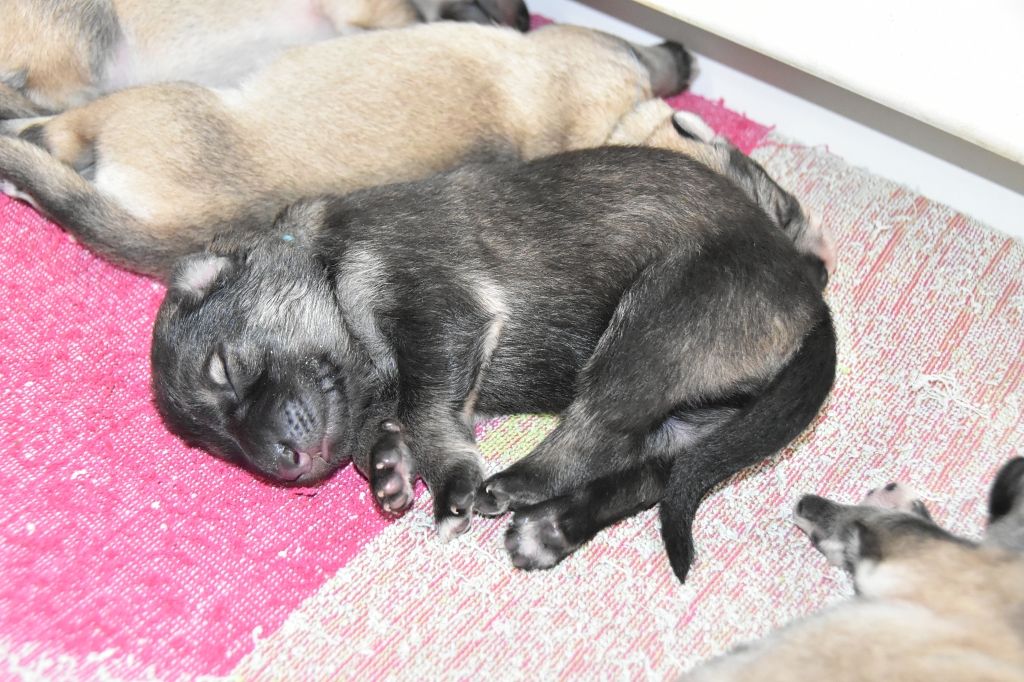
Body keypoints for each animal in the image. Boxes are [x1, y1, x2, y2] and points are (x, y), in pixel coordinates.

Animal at [148, 144, 836, 582]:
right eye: (218, 447)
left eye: (225, 369)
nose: (280, 463)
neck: (325, 257)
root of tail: (809, 295)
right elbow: (387, 427)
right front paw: (388, 465)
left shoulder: (438, 312)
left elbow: (428, 410)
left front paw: (447, 480)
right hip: (692, 416)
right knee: (652, 474)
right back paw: (550, 529)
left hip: (653, 326)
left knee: (600, 432)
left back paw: (518, 485)